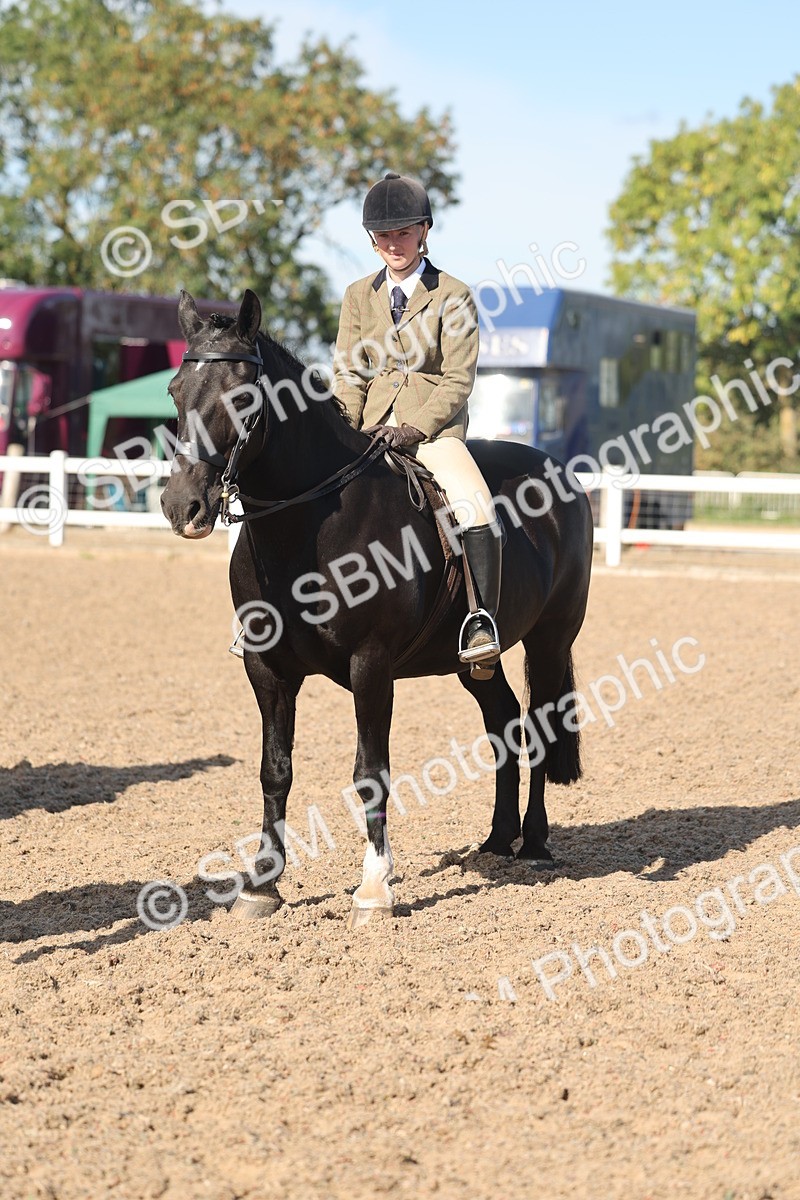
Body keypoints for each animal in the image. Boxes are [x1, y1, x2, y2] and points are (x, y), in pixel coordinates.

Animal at [160, 288, 593, 927]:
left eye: (241, 395)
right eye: (173, 391)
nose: (182, 505)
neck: (308, 526)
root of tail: (561, 472)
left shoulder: (371, 665)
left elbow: (370, 773)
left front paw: (374, 887)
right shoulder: (268, 670)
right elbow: (275, 769)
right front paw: (263, 883)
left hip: (550, 641)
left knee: (540, 723)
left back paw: (535, 844)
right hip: (472, 662)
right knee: (502, 720)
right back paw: (497, 840)